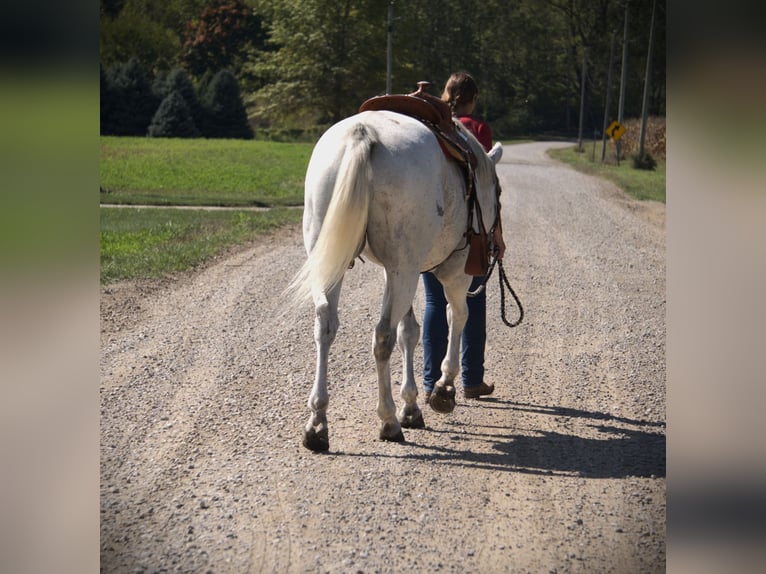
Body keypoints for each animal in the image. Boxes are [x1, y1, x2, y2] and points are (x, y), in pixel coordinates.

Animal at [286, 109, 503, 452]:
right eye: (499, 192)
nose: (497, 245)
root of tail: (363, 133)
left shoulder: (396, 271)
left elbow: (410, 332)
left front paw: (411, 406)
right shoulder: (454, 270)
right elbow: (457, 317)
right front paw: (443, 388)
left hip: (344, 262)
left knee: (326, 326)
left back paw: (318, 423)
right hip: (408, 269)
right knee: (383, 335)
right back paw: (387, 421)